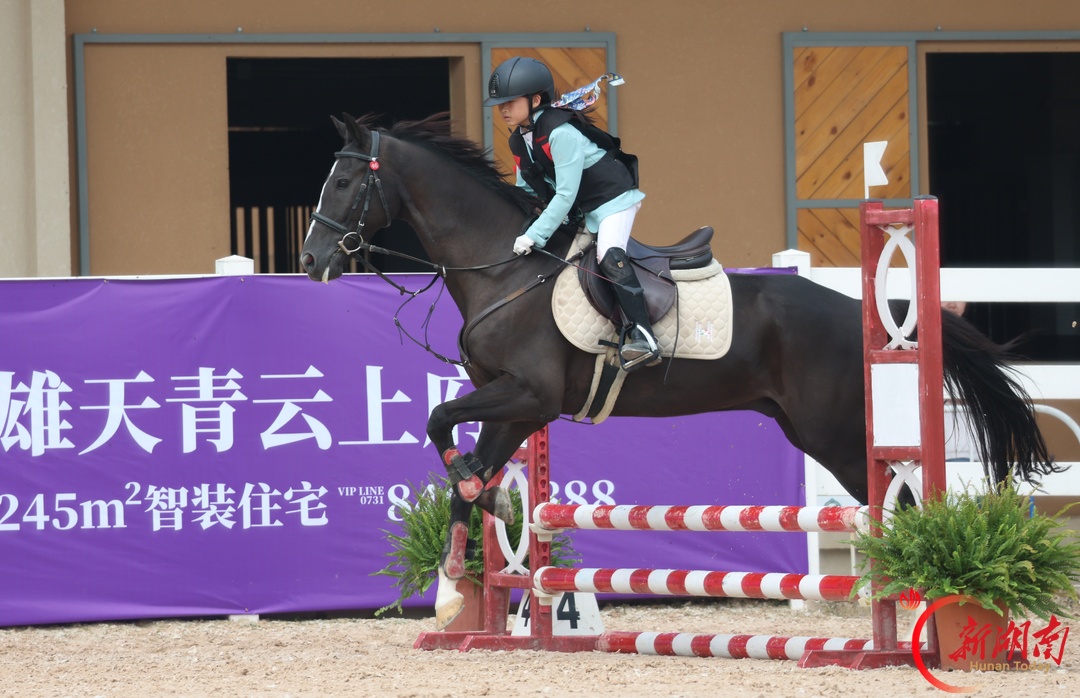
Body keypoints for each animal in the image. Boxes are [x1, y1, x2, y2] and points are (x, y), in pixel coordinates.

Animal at [299, 113, 1060, 629]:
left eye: (345, 181)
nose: (310, 262)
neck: (503, 270)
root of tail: (860, 312)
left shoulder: (526, 395)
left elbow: (440, 422)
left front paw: (471, 536)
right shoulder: (516, 406)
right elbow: (472, 472)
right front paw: (463, 575)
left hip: (838, 437)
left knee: (898, 505)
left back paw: (929, 597)